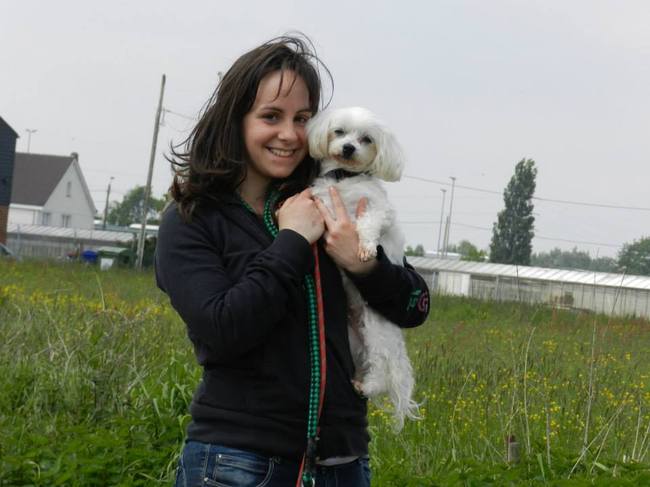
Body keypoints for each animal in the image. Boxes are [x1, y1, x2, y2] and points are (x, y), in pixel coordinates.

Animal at [307, 106, 419, 430]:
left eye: (366, 139)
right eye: (339, 132)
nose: (348, 148)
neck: (345, 179)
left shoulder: (377, 210)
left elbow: (367, 224)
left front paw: (366, 247)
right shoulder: (323, 197)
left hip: (376, 332)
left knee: (381, 368)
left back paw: (367, 386)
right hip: (354, 338)